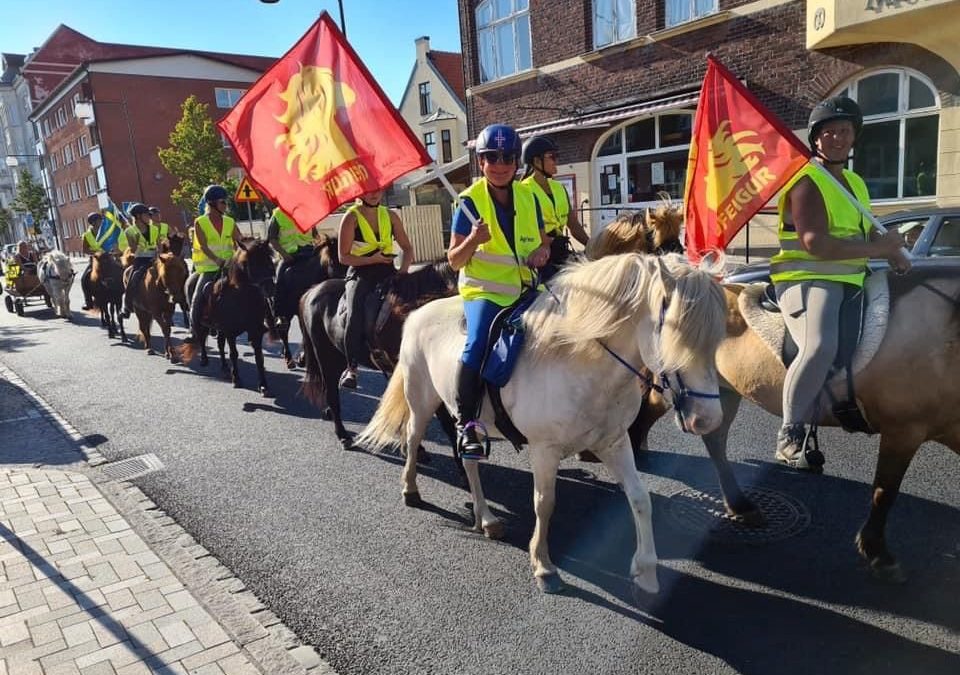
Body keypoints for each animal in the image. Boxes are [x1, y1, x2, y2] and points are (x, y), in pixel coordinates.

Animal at [358, 254, 728, 596]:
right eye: (677, 336)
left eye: (717, 338)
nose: (708, 419)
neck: (578, 361)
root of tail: (418, 312)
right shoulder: (544, 450)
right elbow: (545, 504)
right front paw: (544, 567)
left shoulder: (614, 441)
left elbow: (640, 498)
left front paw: (647, 572)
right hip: (421, 400)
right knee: (412, 437)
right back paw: (411, 490)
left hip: (463, 421)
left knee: (469, 462)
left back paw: (487, 520)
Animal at [632, 272, 960, 584]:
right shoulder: (903, 429)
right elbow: (885, 492)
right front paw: (878, 552)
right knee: (652, 407)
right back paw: (637, 449)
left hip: (723, 391)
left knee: (715, 439)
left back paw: (739, 504)